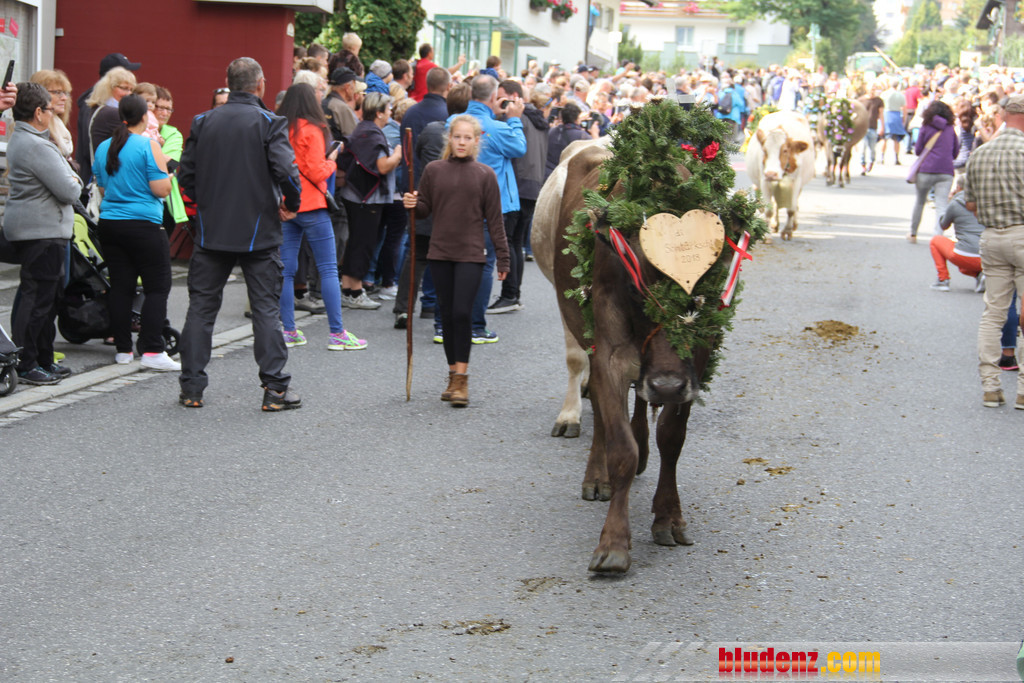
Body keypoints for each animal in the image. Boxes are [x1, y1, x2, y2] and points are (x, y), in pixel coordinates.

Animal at [532, 140, 708, 573]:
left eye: (699, 297)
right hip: (579, 323)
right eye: (636, 290)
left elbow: (671, 439)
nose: (666, 385)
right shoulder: (609, 354)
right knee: (597, 401)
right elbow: (621, 448)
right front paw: (613, 543)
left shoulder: (695, 365)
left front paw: (669, 518)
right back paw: (597, 475)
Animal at [745, 110, 816, 240]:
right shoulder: (764, 181)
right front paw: (766, 235)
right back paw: (774, 225)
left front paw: (787, 231)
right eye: (764, 150)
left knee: (793, 205)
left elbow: (791, 209)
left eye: (785, 150)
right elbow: (769, 210)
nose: (771, 174)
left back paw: (793, 224)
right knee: (774, 205)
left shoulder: (796, 182)